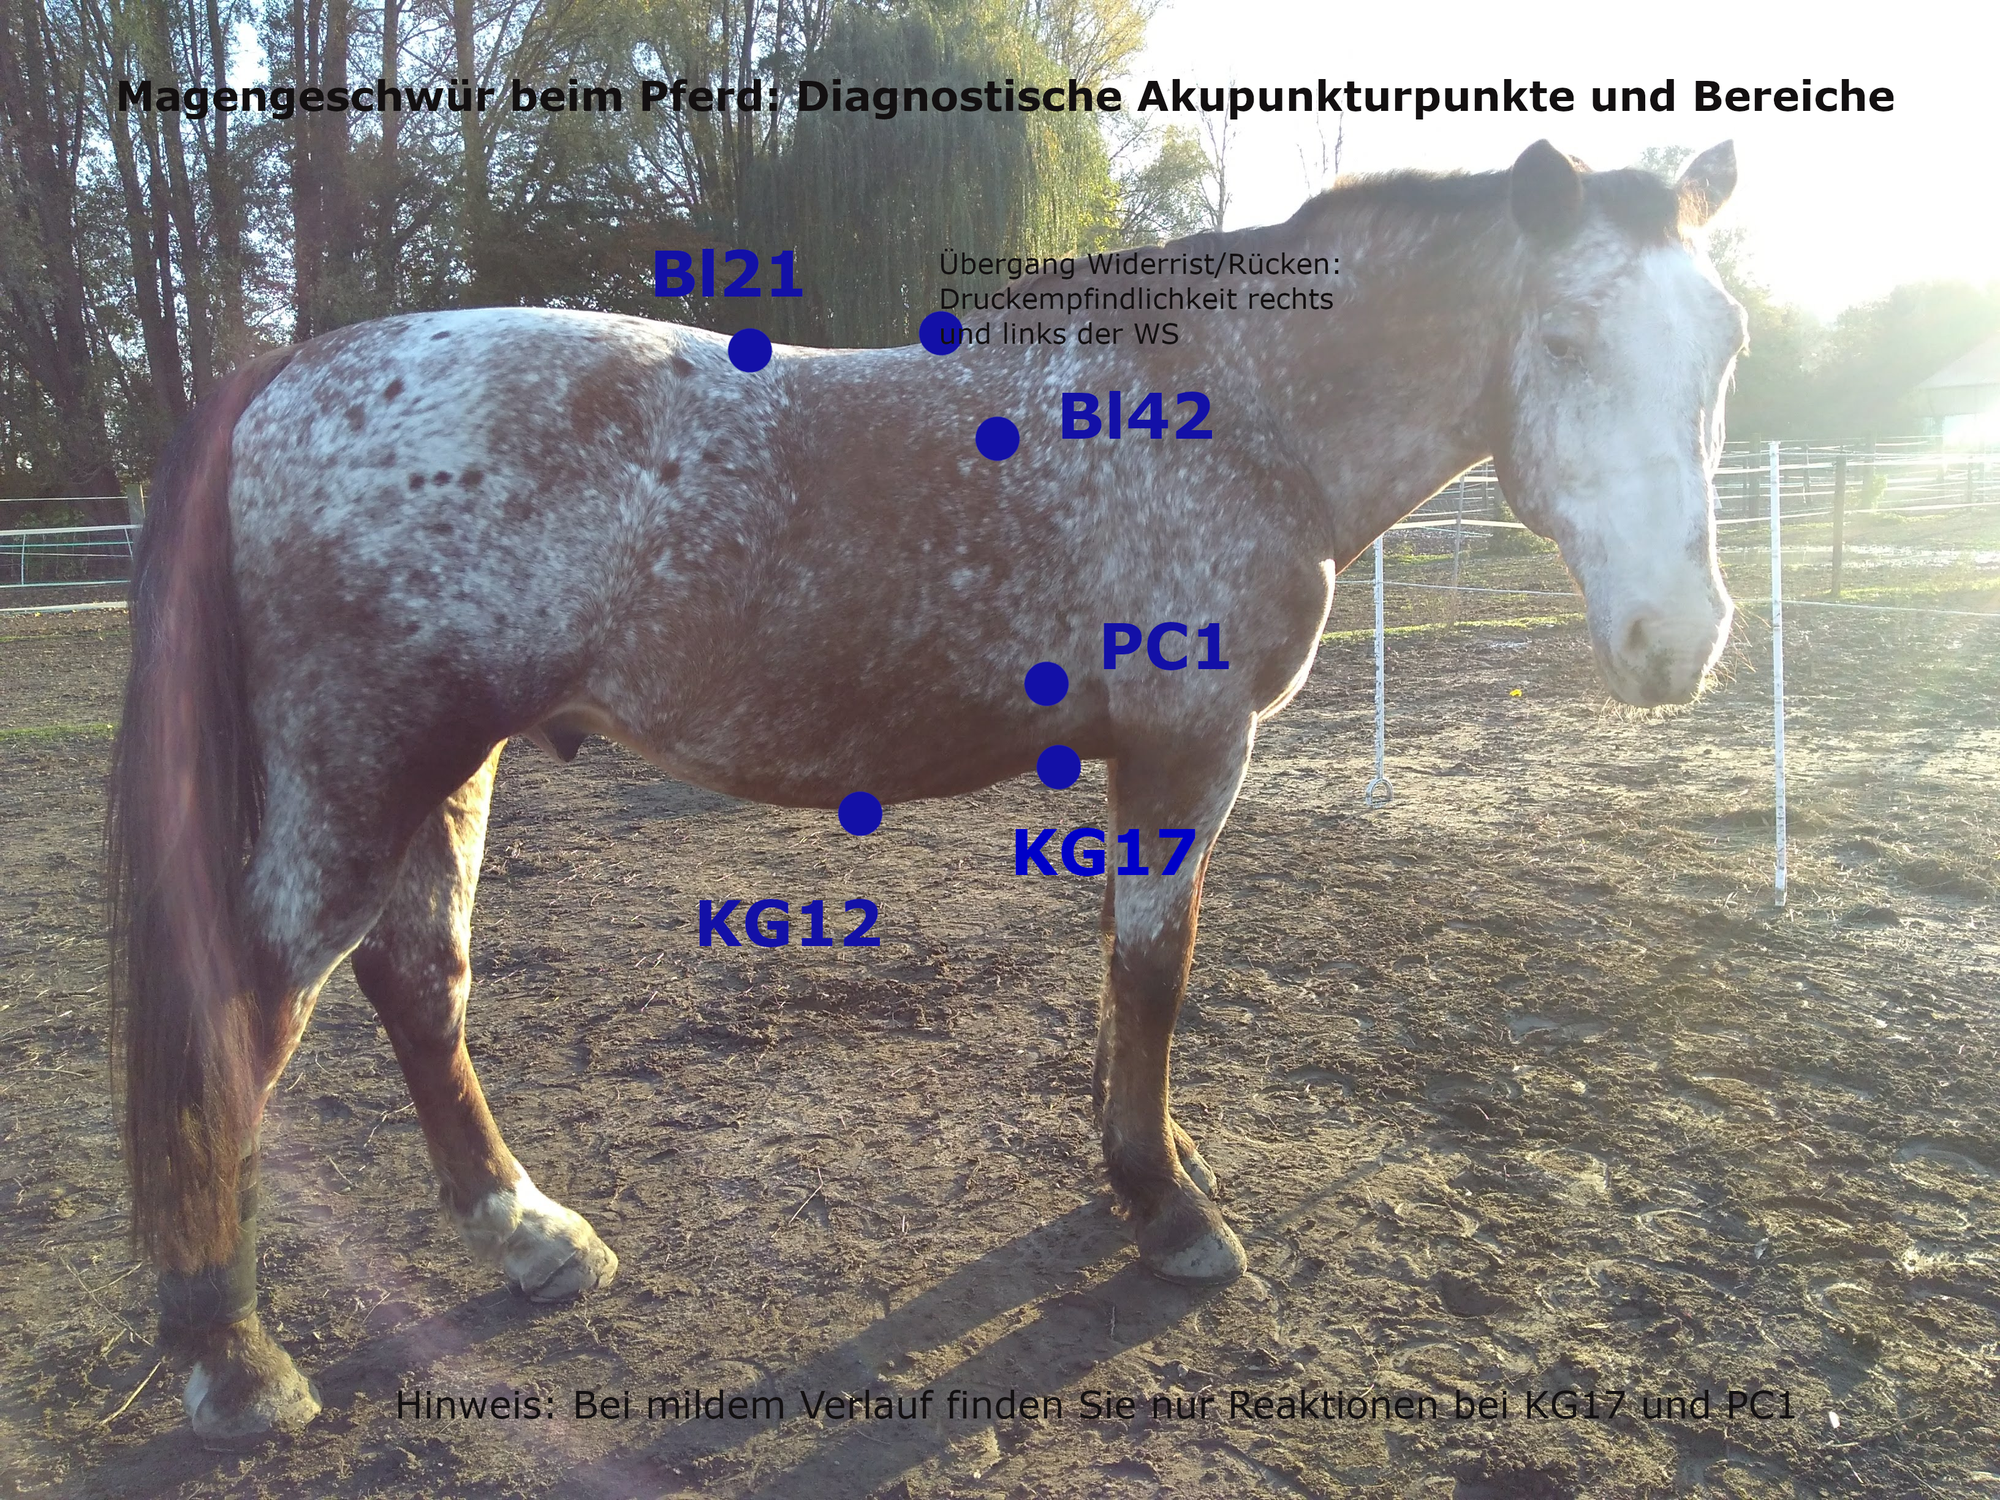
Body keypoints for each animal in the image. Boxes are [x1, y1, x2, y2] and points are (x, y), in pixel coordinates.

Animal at [108, 139, 1743, 1441]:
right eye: (1570, 336)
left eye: (1723, 345)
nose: (1681, 637)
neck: (1231, 405)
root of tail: (288, 371)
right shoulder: (1188, 744)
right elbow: (1155, 965)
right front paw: (1168, 1209)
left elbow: (1120, 971)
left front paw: (1151, 1162)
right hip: (364, 773)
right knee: (253, 1006)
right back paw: (234, 1358)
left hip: (450, 769)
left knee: (418, 979)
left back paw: (527, 1236)